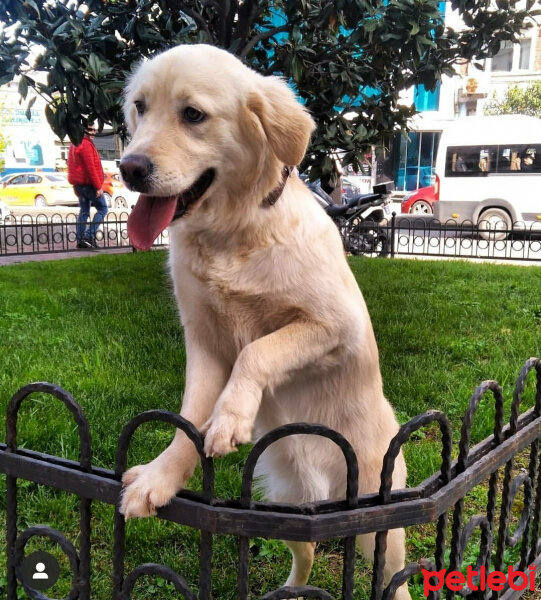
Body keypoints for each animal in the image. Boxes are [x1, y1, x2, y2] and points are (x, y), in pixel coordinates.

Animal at [119, 43, 410, 600]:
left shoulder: (337, 326)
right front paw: (161, 477)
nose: (128, 168)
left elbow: (259, 350)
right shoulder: (205, 345)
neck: (232, 235)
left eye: (193, 114)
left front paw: (232, 417)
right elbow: (187, 424)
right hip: (282, 514)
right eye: (140, 108)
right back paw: (288, 589)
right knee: (308, 552)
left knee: (395, 576)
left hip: (380, 524)